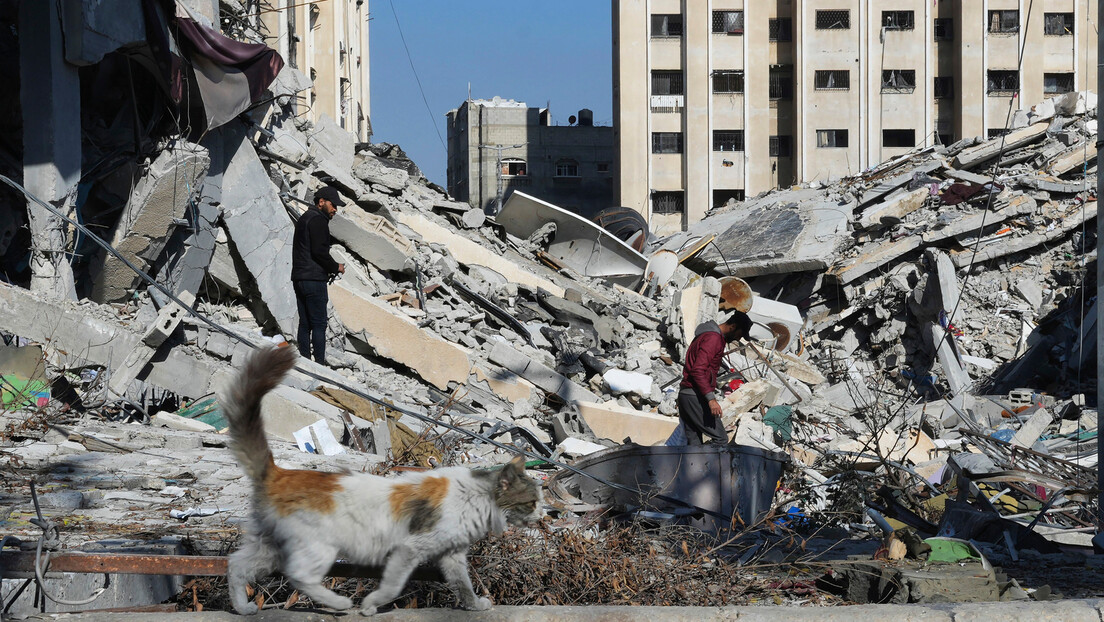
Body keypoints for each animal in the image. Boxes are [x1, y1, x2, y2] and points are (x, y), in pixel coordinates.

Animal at [218, 349, 538, 614]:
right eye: (533, 501)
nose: (545, 513)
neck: (478, 498)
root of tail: (280, 472)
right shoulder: (409, 550)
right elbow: (392, 587)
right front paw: (371, 605)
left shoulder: (452, 556)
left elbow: (463, 586)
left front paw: (475, 606)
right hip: (318, 546)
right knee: (298, 575)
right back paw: (339, 604)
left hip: (269, 545)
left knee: (236, 566)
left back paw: (243, 608)